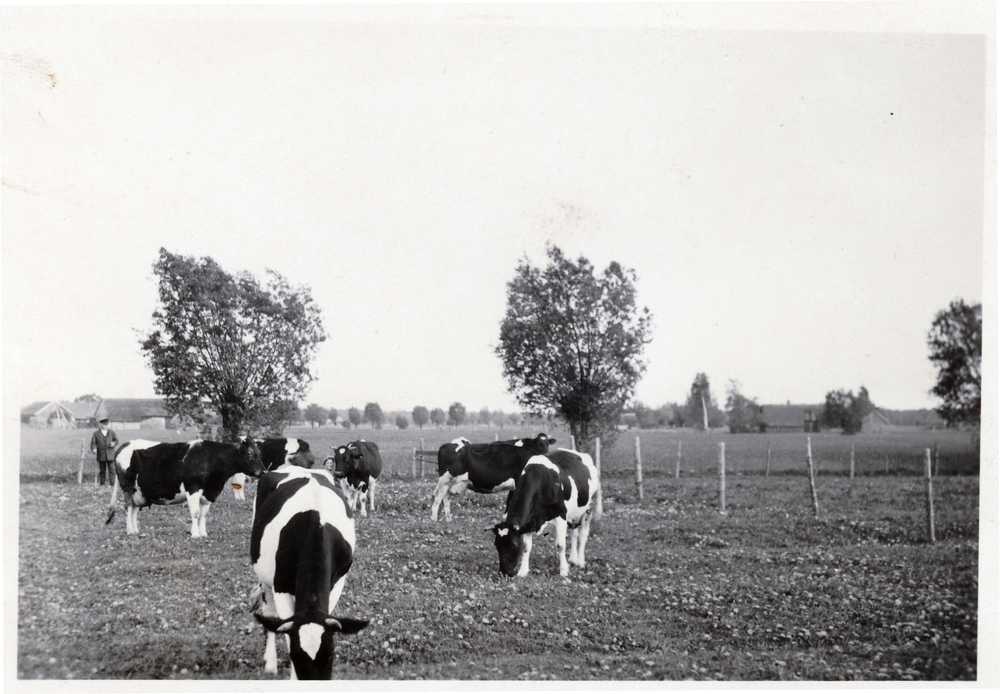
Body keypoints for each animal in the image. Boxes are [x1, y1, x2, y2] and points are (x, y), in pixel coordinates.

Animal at [106, 438, 266, 540]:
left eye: (259, 453)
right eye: (250, 454)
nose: (263, 471)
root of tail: (125, 444)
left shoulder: (209, 493)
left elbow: (203, 515)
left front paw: (203, 533)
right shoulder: (193, 488)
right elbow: (195, 513)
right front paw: (195, 534)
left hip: (138, 491)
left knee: (133, 509)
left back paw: (135, 531)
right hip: (127, 486)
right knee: (128, 507)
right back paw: (129, 530)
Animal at [252, 468, 370, 680]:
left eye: (330, 654)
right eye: (295, 657)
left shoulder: (336, 584)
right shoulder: (280, 586)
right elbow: (285, 630)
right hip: (264, 577)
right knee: (269, 615)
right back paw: (270, 663)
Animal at [490, 448, 596, 580]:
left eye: (513, 545)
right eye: (496, 544)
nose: (504, 572)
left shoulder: (561, 515)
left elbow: (560, 545)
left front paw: (564, 571)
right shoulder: (530, 521)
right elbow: (526, 546)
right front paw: (523, 571)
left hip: (588, 508)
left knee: (582, 535)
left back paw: (580, 562)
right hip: (573, 514)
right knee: (574, 533)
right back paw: (573, 559)